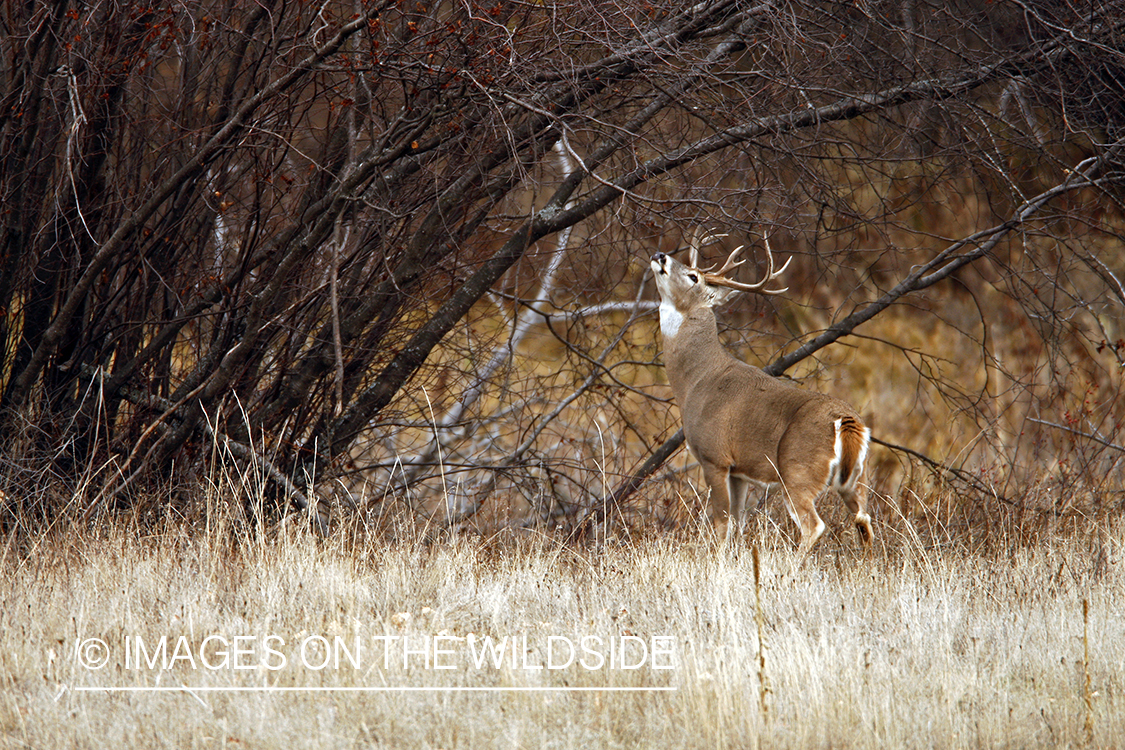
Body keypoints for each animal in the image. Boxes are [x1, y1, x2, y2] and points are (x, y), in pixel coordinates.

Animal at [648, 231, 873, 555]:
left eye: (693, 276)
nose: (660, 255)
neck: (696, 380)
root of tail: (847, 421)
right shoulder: (738, 470)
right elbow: (738, 524)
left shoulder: (714, 456)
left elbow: (721, 524)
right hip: (857, 479)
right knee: (864, 520)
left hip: (797, 470)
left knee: (814, 525)